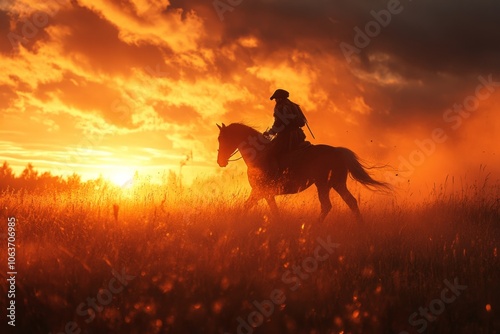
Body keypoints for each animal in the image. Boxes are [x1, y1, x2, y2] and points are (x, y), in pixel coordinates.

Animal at [217, 122, 388, 222]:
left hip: (323, 185)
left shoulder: (261, 191)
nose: (220, 161)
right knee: (351, 202)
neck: (259, 154)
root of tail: (338, 152)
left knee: (327, 206)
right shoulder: (264, 193)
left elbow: (248, 207)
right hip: (337, 184)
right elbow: (269, 210)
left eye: (222, 138)